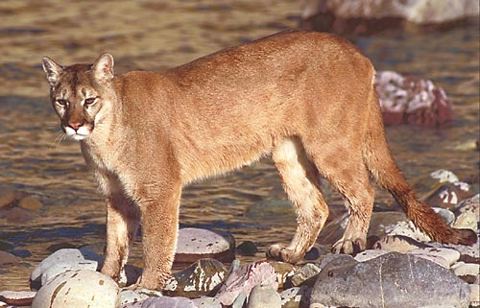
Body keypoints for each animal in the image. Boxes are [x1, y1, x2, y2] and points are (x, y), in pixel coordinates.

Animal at [42, 30, 476, 290]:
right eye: (62, 101)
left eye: (89, 99)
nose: (74, 125)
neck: (105, 135)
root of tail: (357, 51)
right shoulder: (116, 196)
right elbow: (114, 241)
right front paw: (105, 278)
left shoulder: (159, 191)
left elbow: (157, 242)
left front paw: (146, 286)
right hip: (288, 152)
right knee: (315, 205)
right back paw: (292, 253)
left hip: (329, 143)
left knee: (362, 189)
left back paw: (350, 242)